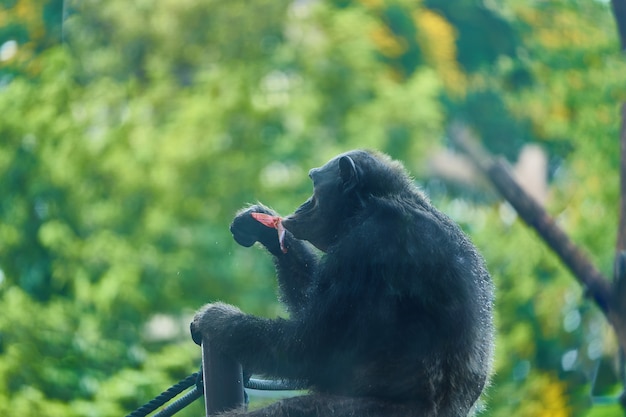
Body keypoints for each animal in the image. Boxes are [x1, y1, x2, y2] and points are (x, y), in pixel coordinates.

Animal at [190, 150, 492, 416]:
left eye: (313, 180)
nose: (302, 204)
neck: (369, 205)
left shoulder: (363, 247)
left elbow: (312, 346)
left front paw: (216, 318)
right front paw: (263, 227)